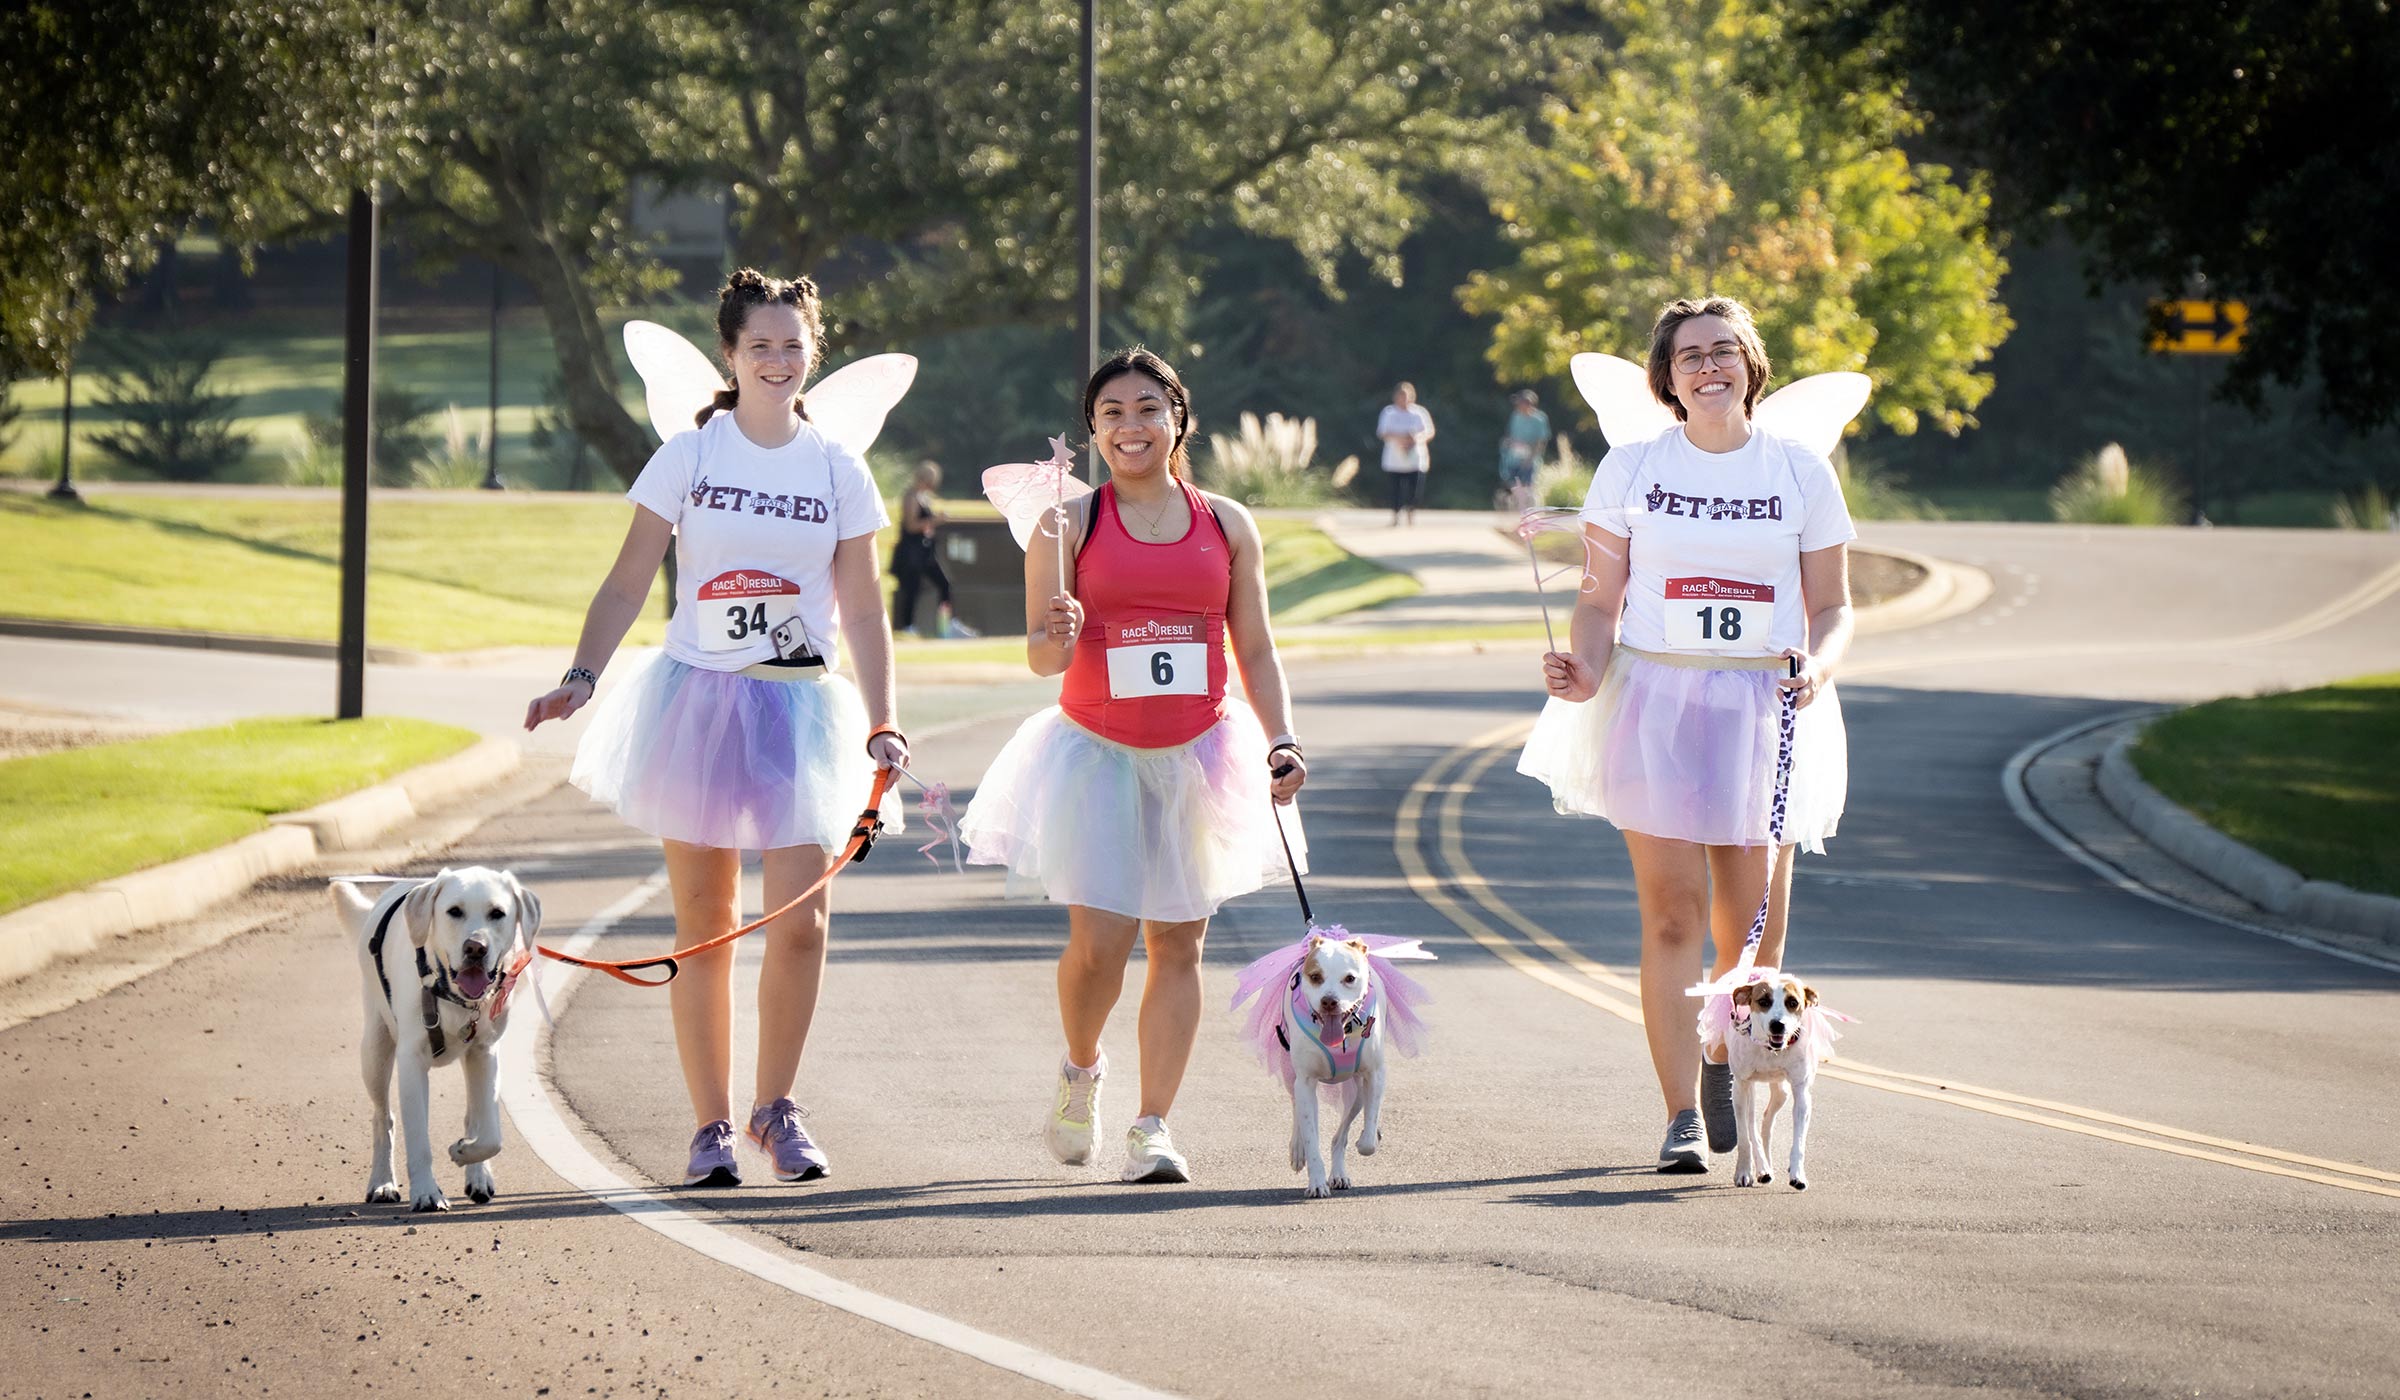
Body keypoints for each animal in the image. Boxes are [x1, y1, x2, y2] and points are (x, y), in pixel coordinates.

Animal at [333, 869, 540, 1210]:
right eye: (454, 911)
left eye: (497, 913)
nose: (475, 948)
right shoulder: (411, 1062)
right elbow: (418, 1139)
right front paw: (427, 1193)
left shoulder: (485, 1053)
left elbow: (490, 1134)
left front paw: (465, 1153)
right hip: (375, 1051)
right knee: (382, 1118)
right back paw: (382, 1183)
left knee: (472, 1117)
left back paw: (477, 1176)